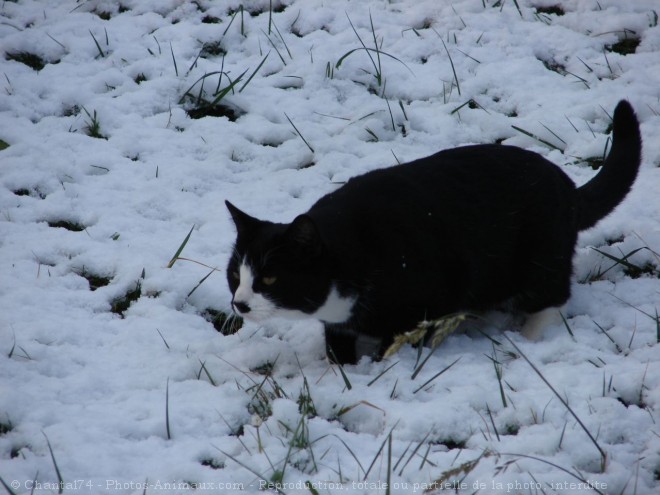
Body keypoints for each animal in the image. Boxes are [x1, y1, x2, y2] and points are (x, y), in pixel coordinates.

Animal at [224, 100, 640, 364]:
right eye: (234, 276)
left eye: (270, 277)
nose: (239, 303)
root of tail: (568, 187)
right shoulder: (339, 325)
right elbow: (337, 350)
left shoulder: (431, 303)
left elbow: (400, 345)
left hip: (541, 256)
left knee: (552, 296)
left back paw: (529, 336)